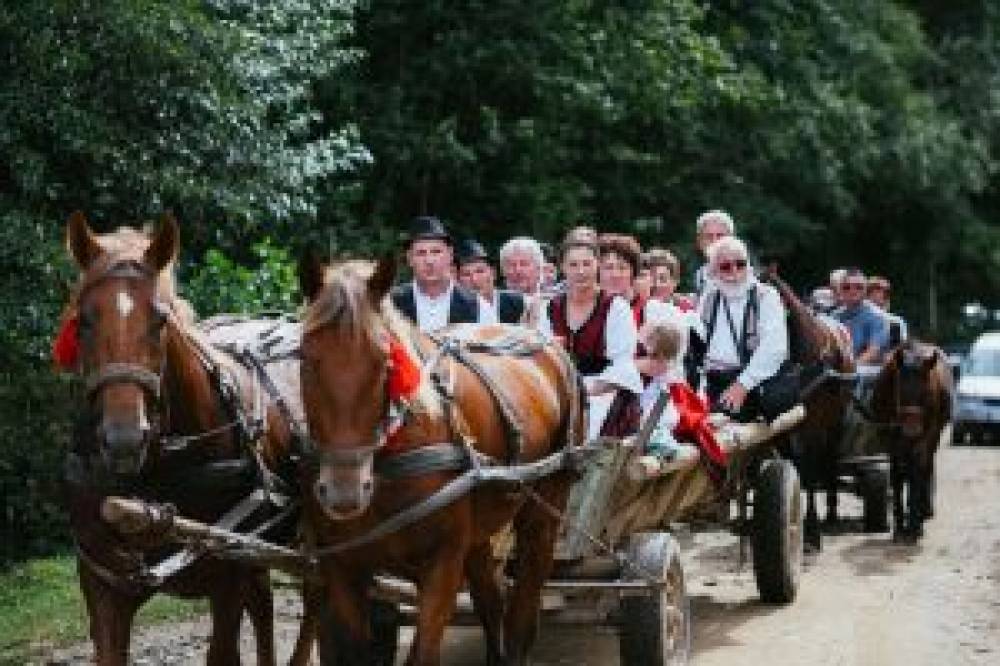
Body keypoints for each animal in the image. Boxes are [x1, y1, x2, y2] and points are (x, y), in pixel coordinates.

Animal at [61, 214, 316, 664]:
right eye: (84, 320)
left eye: (160, 321)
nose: (124, 438)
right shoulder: (104, 588)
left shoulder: (228, 580)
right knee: (266, 605)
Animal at [296, 254, 584, 664]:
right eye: (305, 357)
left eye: (385, 361)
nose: (344, 492)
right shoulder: (343, 568)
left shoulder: (442, 566)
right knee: (491, 601)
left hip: (545, 510)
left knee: (523, 608)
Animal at [760, 268, 856, 548]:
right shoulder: (782, 428)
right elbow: (796, 469)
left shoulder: (813, 426)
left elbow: (811, 471)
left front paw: (812, 531)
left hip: (835, 422)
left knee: (830, 457)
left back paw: (832, 510)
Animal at [872, 338, 948, 540]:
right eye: (900, 390)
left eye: (926, 392)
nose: (911, 428)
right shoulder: (892, 440)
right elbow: (897, 476)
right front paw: (899, 527)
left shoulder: (925, 439)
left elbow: (918, 475)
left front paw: (915, 526)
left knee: (924, 469)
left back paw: (922, 512)